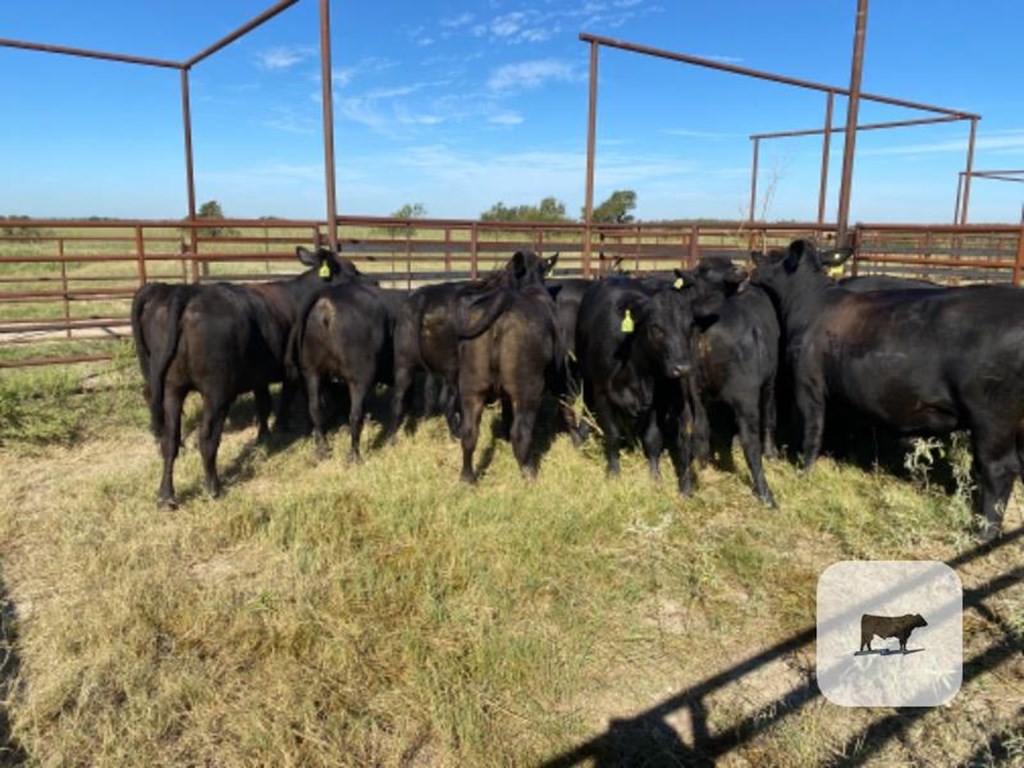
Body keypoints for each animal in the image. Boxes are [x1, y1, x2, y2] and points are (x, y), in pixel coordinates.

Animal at [134, 244, 362, 505]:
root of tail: (186, 293)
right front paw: (292, 428)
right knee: (207, 439)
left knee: (170, 439)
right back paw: (213, 487)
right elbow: (300, 400)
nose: (370, 281)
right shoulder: (296, 370)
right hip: (216, 391)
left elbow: (264, 404)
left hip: (172, 387)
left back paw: (166, 495)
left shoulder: (259, 375)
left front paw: (266, 435)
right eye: (352, 269)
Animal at [577, 274, 696, 493]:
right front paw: (613, 473)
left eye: (690, 325)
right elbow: (612, 435)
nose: (682, 368)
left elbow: (653, 438)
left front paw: (655, 476)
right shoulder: (603, 393)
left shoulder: (658, 401)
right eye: (656, 327)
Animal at [684, 259, 778, 507]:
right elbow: (769, 416)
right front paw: (771, 453)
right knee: (750, 442)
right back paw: (766, 495)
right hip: (746, 396)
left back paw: (688, 485)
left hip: (688, 391)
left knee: (693, 431)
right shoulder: (769, 381)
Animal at [749, 240, 1024, 540]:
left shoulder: (808, 384)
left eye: (775, 254)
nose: (753, 255)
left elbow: (813, 432)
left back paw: (984, 533)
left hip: (991, 419)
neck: (810, 303)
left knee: (999, 469)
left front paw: (804, 472)